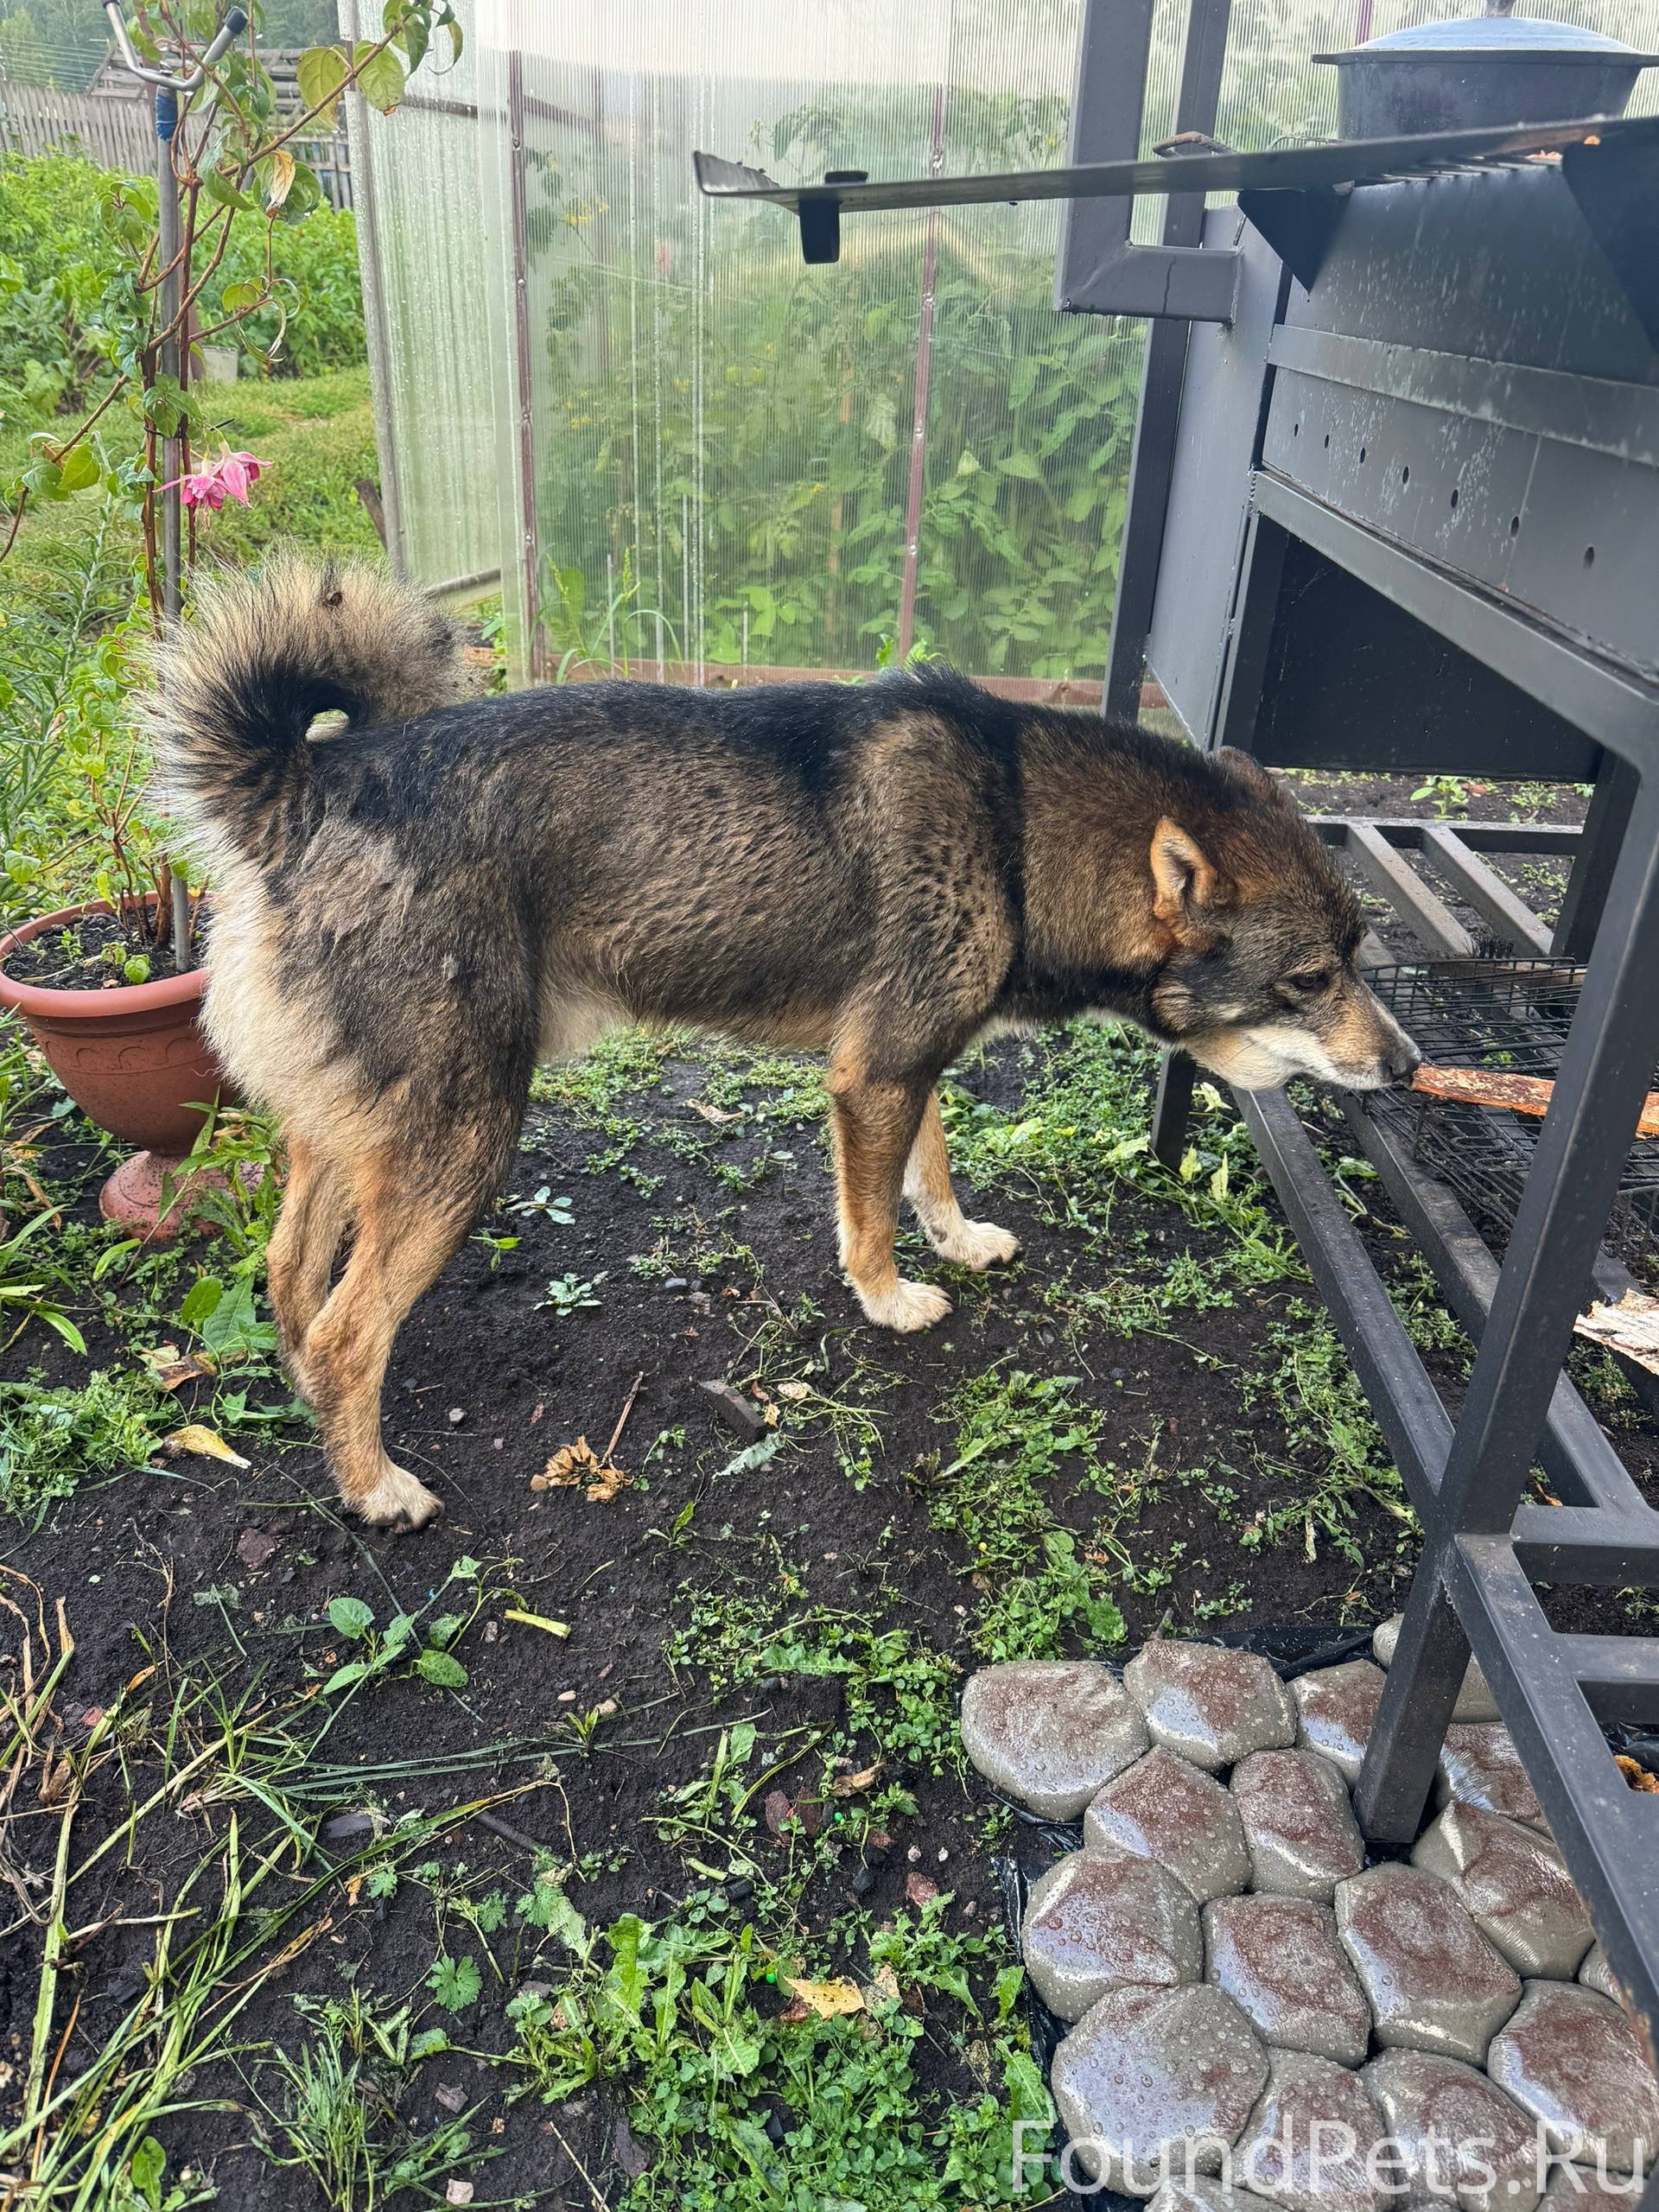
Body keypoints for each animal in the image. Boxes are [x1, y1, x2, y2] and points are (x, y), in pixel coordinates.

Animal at [154, 556, 1418, 1530]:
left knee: (294, 1283)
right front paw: (890, 1299)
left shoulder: (909, 1060)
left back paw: (313, 1405)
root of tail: (312, 782)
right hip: (460, 1142)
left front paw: (956, 1240)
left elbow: (930, 1173)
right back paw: (375, 1487)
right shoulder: (873, 1075)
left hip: (355, 1131)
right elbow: (869, 1217)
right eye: (1312, 979)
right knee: (349, 1330)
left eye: (1362, 951)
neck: (1014, 821)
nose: (1406, 1069)